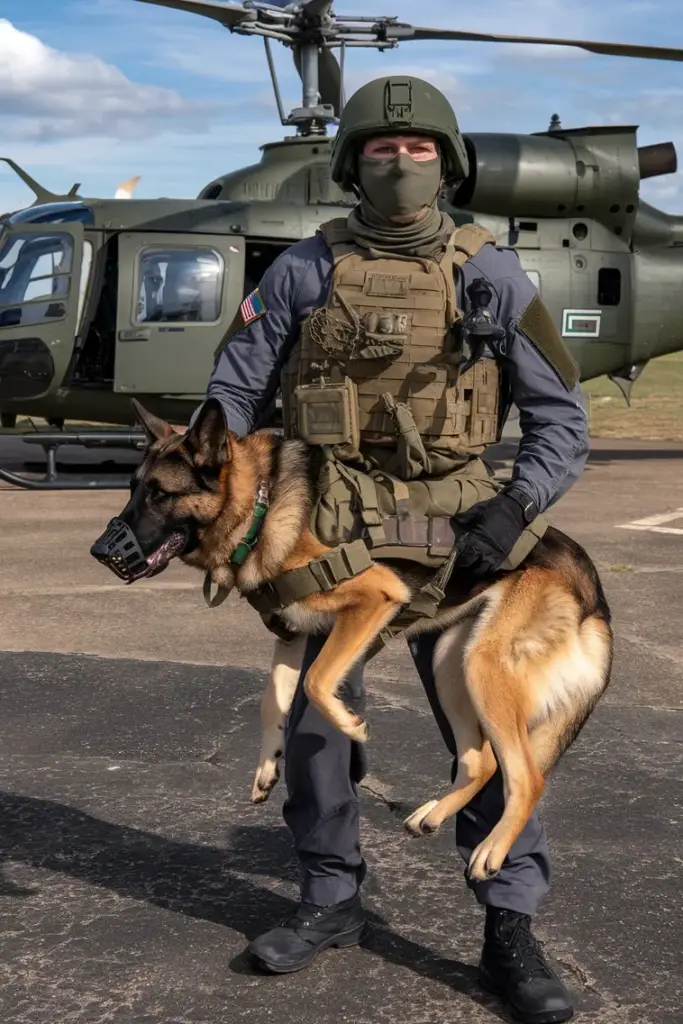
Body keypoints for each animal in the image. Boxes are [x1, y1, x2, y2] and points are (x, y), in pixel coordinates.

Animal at [92, 397, 614, 880]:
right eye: (133, 489)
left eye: (160, 494)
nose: (99, 551)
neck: (262, 502)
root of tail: (591, 584)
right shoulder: (293, 632)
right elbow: (271, 699)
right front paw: (268, 765)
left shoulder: (373, 599)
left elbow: (317, 681)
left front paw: (349, 724)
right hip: (451, 663)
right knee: (481, 762)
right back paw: (434, 814)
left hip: (482, 666)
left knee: (526, 779)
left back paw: (492, 849)